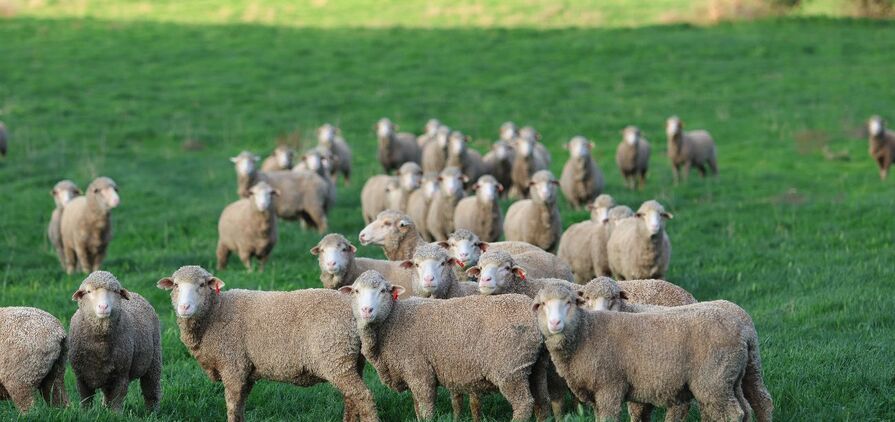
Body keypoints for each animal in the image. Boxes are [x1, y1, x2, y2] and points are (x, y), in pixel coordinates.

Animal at [69, 271, 162, 411]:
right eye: (89, 291)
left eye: (114, 291)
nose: (103, 306)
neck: (100, 342)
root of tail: (136, 294)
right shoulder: (81, 377)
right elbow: (86, 399)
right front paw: (85, 412)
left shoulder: (121, 374)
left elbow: (117, 400)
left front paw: (115, 414)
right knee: (107, 395)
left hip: (154, 361)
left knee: (151, 389)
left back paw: (152, 411)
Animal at [157, 266, 378, 422]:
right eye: (175, 285)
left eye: (202, 285)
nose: (185, 307)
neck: (215, 312)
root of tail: (354, 308)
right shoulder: (245, 371)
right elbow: (240, 407)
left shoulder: (233, 366)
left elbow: (232, 407)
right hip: (350, 360)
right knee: (351, 398)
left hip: (335, 357)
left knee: (363, 397)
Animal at [338, 271, 550, 421]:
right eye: (356, 291)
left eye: (383, 291)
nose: (367, 310)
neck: (392, 322)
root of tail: (532, 311)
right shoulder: (410, 372)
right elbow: (417, 407)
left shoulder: (419, 371)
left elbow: (426, 408)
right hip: (535, 366)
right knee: (542, 401)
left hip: (510, 368)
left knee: (524, 404)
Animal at [532, 284, 761, 422]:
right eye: (542, 304)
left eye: (569, 302)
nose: (555, 323)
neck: (585, 332)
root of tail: (743, 332)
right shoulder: (596, 393)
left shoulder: (609, 387)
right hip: (729, 378)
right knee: (746, 409)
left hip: (712, 381)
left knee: (734, 414)